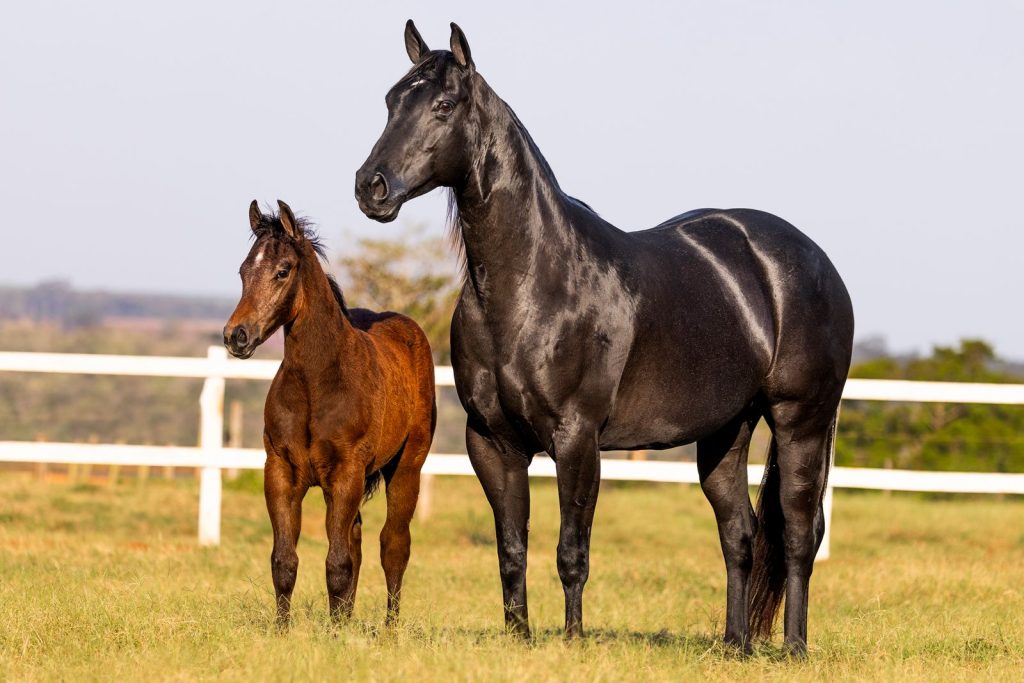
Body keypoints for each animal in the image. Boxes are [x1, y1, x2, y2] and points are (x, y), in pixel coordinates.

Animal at [222, 198, 434, 626]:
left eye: (283, 270)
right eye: (243, 270)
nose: (236, 336)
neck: (317, 383)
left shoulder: (346, 473)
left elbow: (337, 564)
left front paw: (336, 635)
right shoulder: (281, 472)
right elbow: (285, 562)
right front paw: (286, 632)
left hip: (407, 467)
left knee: (394, 545)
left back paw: (390, 629)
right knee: (357, 540)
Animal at [356, 21, 851, 655]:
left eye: (443, 105)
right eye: (391, 101)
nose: (371, 187)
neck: (532, 284)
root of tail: (814, 261)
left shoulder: (577, 439)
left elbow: (572, 551)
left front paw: (571, 640)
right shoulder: (491, 442)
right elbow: (511, 549)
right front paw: (519, 638)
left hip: (800, 422)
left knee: (796, 534)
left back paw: (793, 648)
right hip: (725, 432)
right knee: (739, 534)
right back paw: (734, 645)